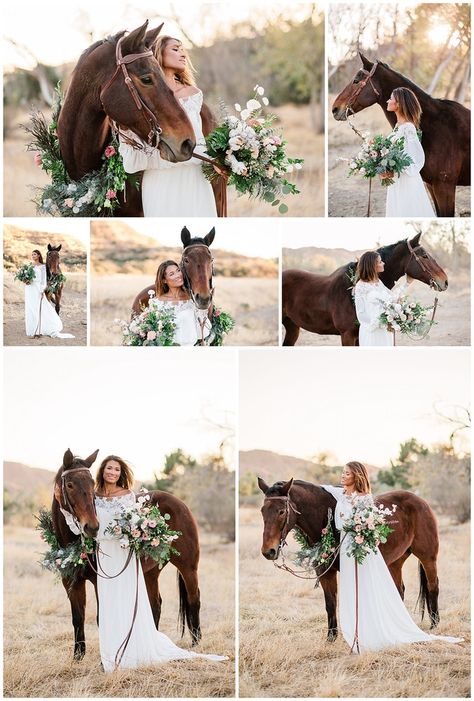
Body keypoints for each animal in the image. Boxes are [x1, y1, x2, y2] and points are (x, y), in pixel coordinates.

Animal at [52, 452, 204, 660]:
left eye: (92, 484)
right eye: (69, 485)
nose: (92, 527)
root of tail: (179, 502)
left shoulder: (100, 582)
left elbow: (101, 619)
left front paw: (105, 661)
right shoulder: (70, 582)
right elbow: (78, 618)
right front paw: (78, 657)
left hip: (188, 567)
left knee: (193, 599)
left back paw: (197, 644)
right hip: (151, 572)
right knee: (156, 604)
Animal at [260, 476, 440, 640]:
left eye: (281, 511)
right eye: (262, 511)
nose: (268, 551)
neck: (328, 519)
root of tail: (420, 501)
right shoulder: (325, 571)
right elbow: (330, 603)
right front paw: (331, 638)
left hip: (428, 558)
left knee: (433, 586)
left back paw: (435, 624)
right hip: (395, 562)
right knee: (399, 590)